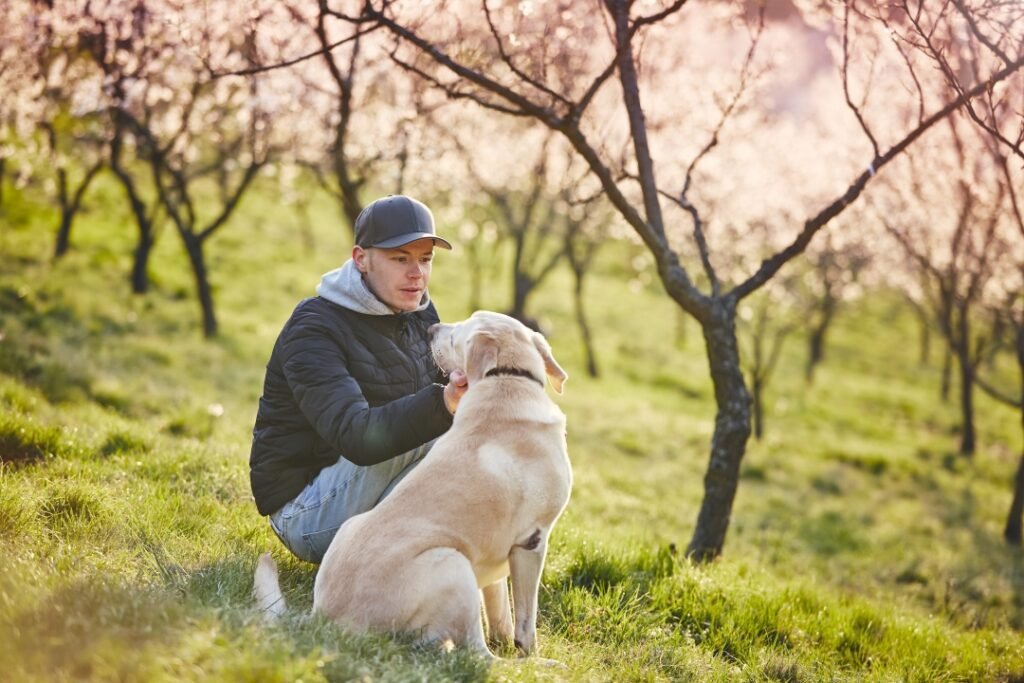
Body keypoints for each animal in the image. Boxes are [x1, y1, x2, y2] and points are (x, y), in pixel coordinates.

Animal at [252, 311, 573, 663]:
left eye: (455, 336)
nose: (431, 330)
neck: (506, 379)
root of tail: (323, 617)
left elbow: (501, 610)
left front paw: (506, 639)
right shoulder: (532, 541)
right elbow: (526, 623)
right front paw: (528, 657)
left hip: (353, 527)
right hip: (453, 564)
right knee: (477, 654)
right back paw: (539, 666)